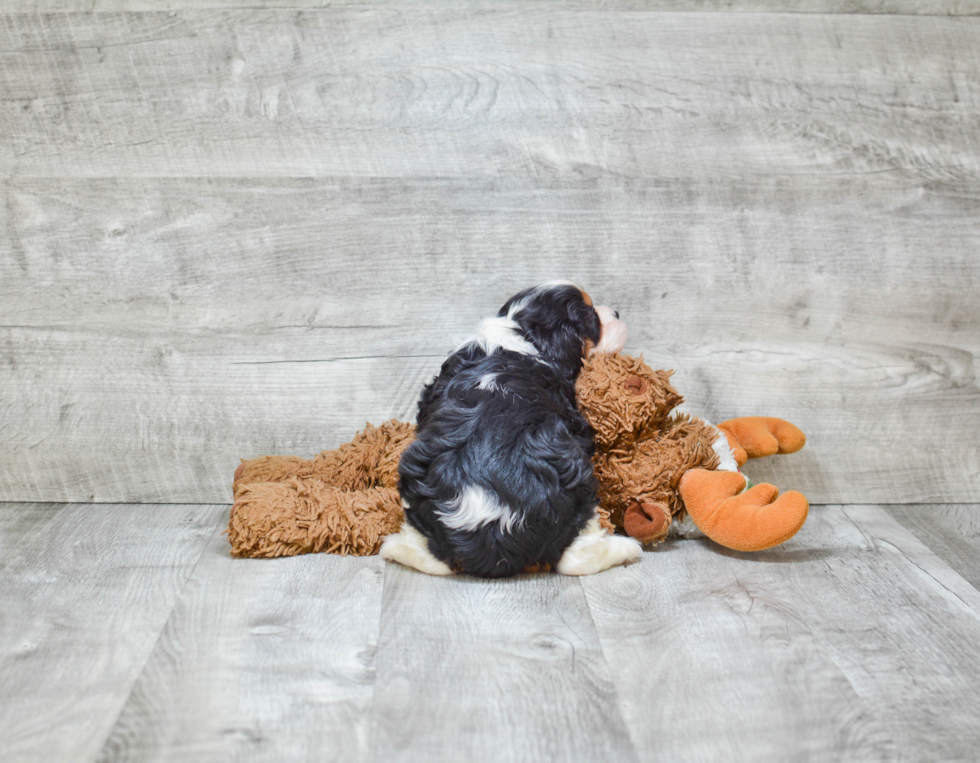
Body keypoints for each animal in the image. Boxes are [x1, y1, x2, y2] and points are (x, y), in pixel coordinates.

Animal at [378, 282, 640, 580]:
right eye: (591, 316)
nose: (617, 312)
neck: (519, 331)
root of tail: (490, 527)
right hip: (579, 482)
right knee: (578, 557)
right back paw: (627, 548)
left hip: (415, 477)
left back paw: (394, 546)